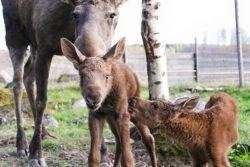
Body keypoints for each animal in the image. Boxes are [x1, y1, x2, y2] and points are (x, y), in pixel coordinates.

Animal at [0, 0, 127, 166]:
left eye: (112, 14)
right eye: (75, 14)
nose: (88, 51)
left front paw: (104, 156)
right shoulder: (44, 48)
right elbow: (42, 101)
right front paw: (36, 155)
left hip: (33, 45)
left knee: (27, 77)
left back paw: (42, 132)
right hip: (15, 33)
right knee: (17, 84)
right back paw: (22, 143)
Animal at [60, 37, 157, 167]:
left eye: (106, 76)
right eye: (82, 76)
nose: (93, 99)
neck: (107, 99)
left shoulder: (123, 115)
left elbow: (128, 159)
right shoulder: (96, 115)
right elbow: (93, 157)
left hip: (133, 107)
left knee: (148, 138)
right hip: (111, 118)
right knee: (118, 141)